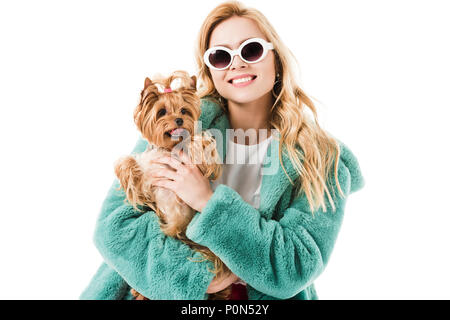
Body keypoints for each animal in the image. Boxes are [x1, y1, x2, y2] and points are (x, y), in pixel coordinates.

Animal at [113, 70, 232, 300]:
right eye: (161, 112)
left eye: (184, 110)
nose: (178, 119)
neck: (169, 149)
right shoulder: (148, 181)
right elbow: (128, 164)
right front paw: (126, 178)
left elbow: (201, 143)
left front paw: (197, 143)